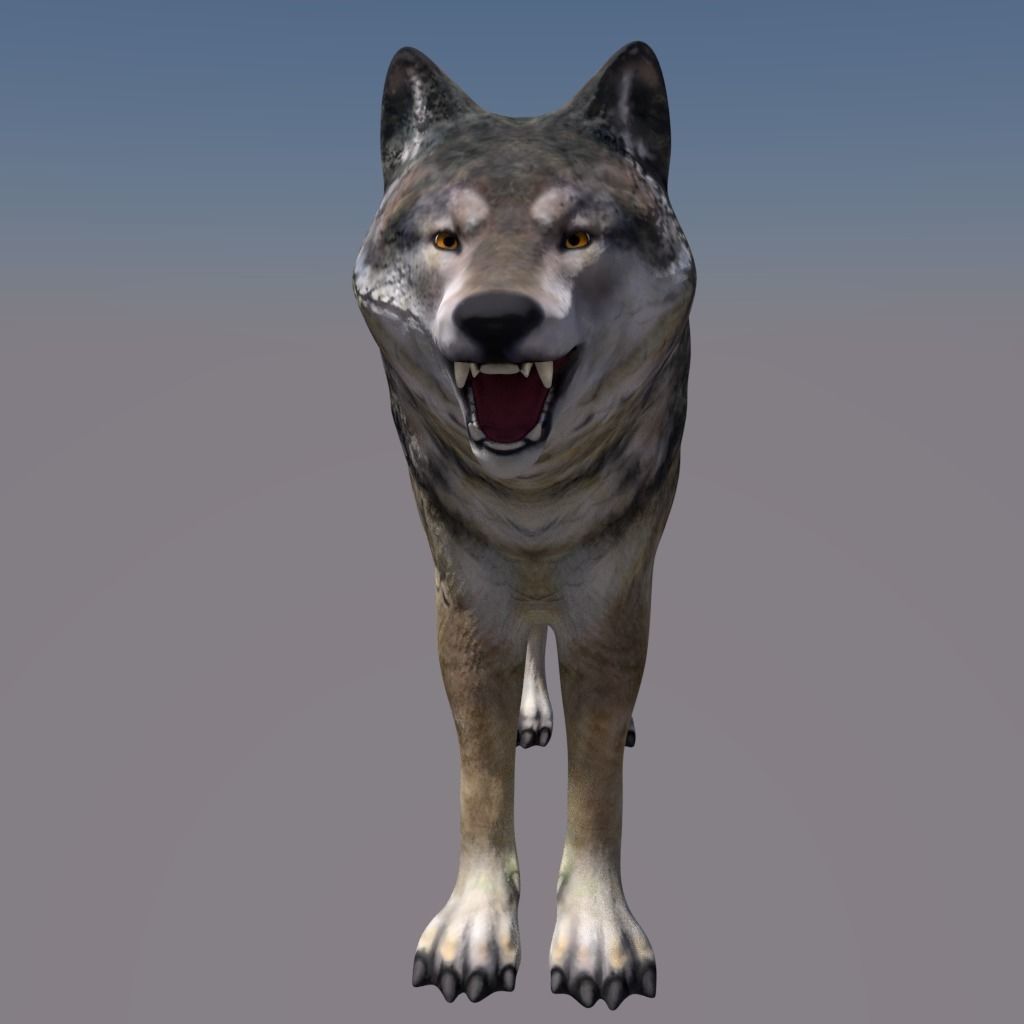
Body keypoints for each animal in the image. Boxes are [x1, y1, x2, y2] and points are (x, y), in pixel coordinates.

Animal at [352, 41, 695, 1009]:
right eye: (447, 239)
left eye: (575, 237)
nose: (496, 317)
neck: (532, 503)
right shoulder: (468, 596)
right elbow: (479, 780)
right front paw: (474, 928)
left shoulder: (612, 594)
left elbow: (599, 787)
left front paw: (596, 935)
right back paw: (531, 711)